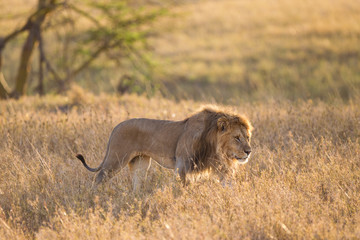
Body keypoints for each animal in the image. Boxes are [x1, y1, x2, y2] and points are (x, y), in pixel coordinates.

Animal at [75, 107, 253, 191]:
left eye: (247, 137)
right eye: (237, 138)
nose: (248, 151)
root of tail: (116, 127)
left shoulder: (221, 167)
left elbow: (228, 184)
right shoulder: (182, 165)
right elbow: (183, 187)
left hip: (140, 163)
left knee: (136, 184)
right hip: (115, 159)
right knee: (99, 177)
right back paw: (93, 195)